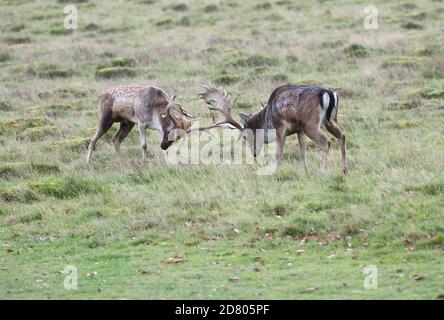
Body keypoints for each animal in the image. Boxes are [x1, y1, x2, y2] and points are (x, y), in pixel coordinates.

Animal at [199, 84, 348, 175]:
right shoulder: (299, 129)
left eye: (245, 137)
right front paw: (306, 172)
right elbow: (302, 153)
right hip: (331, 120)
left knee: (326, 142)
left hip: (311, 124)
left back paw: (321, 172)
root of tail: (329, 94)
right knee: (342, 136)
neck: (267, 120)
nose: (254, 153)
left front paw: (275, 173)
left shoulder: (281, 127)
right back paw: (345, 170)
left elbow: (278, 153)